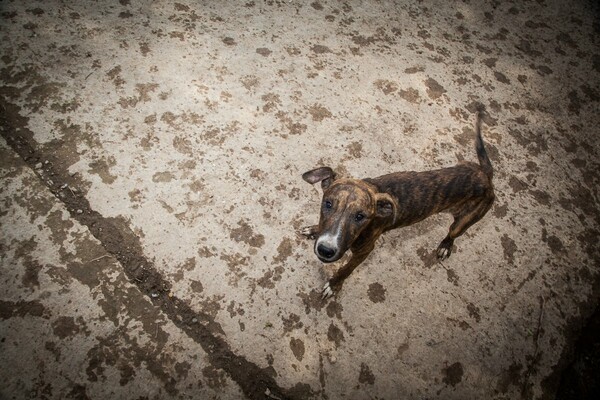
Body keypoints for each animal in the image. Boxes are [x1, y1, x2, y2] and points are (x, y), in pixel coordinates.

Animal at [302, 108, 494, 298]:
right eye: (328, 204)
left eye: (360, 216)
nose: (326, 250)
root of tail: (485, 174)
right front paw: (314, 229)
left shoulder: (365, 250)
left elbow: (346, 269)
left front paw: (334, 285)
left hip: (466, 220)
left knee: (453, 232)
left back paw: (446, 246)